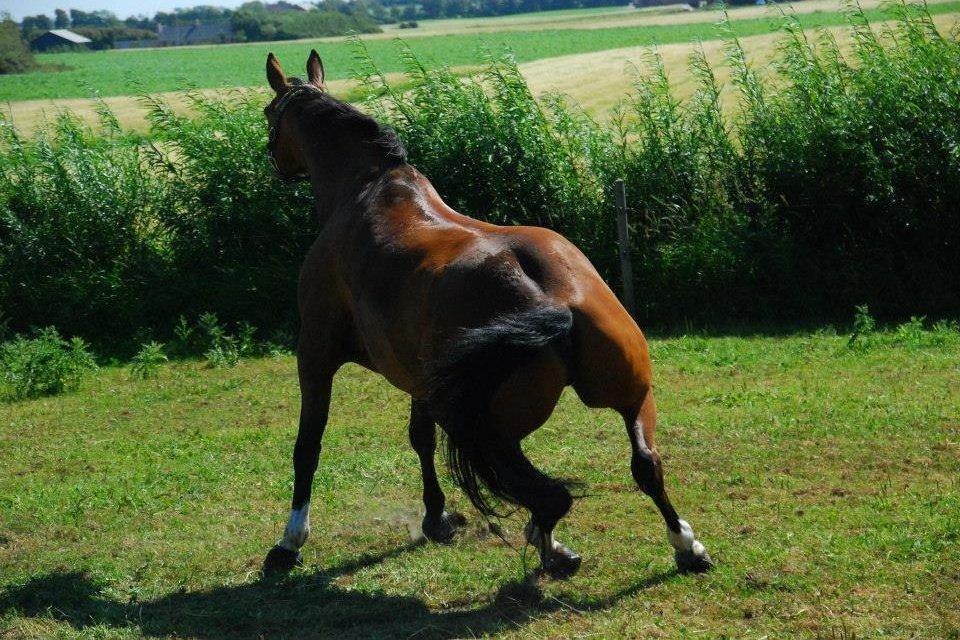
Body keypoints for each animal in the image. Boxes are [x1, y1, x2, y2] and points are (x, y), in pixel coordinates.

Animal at [260, 50, 713, 579]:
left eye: (269, 115)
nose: (273, 160)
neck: (367, 193)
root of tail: (556, 301)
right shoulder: (418, 378)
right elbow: (420, 438)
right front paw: (435, 516)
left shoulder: (315, 355)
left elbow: (308, 446)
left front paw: (290, 541)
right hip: (627, 396)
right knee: (644, 465)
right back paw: (685, 546)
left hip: (491, 430)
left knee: (550, 495)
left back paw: (550, 545)